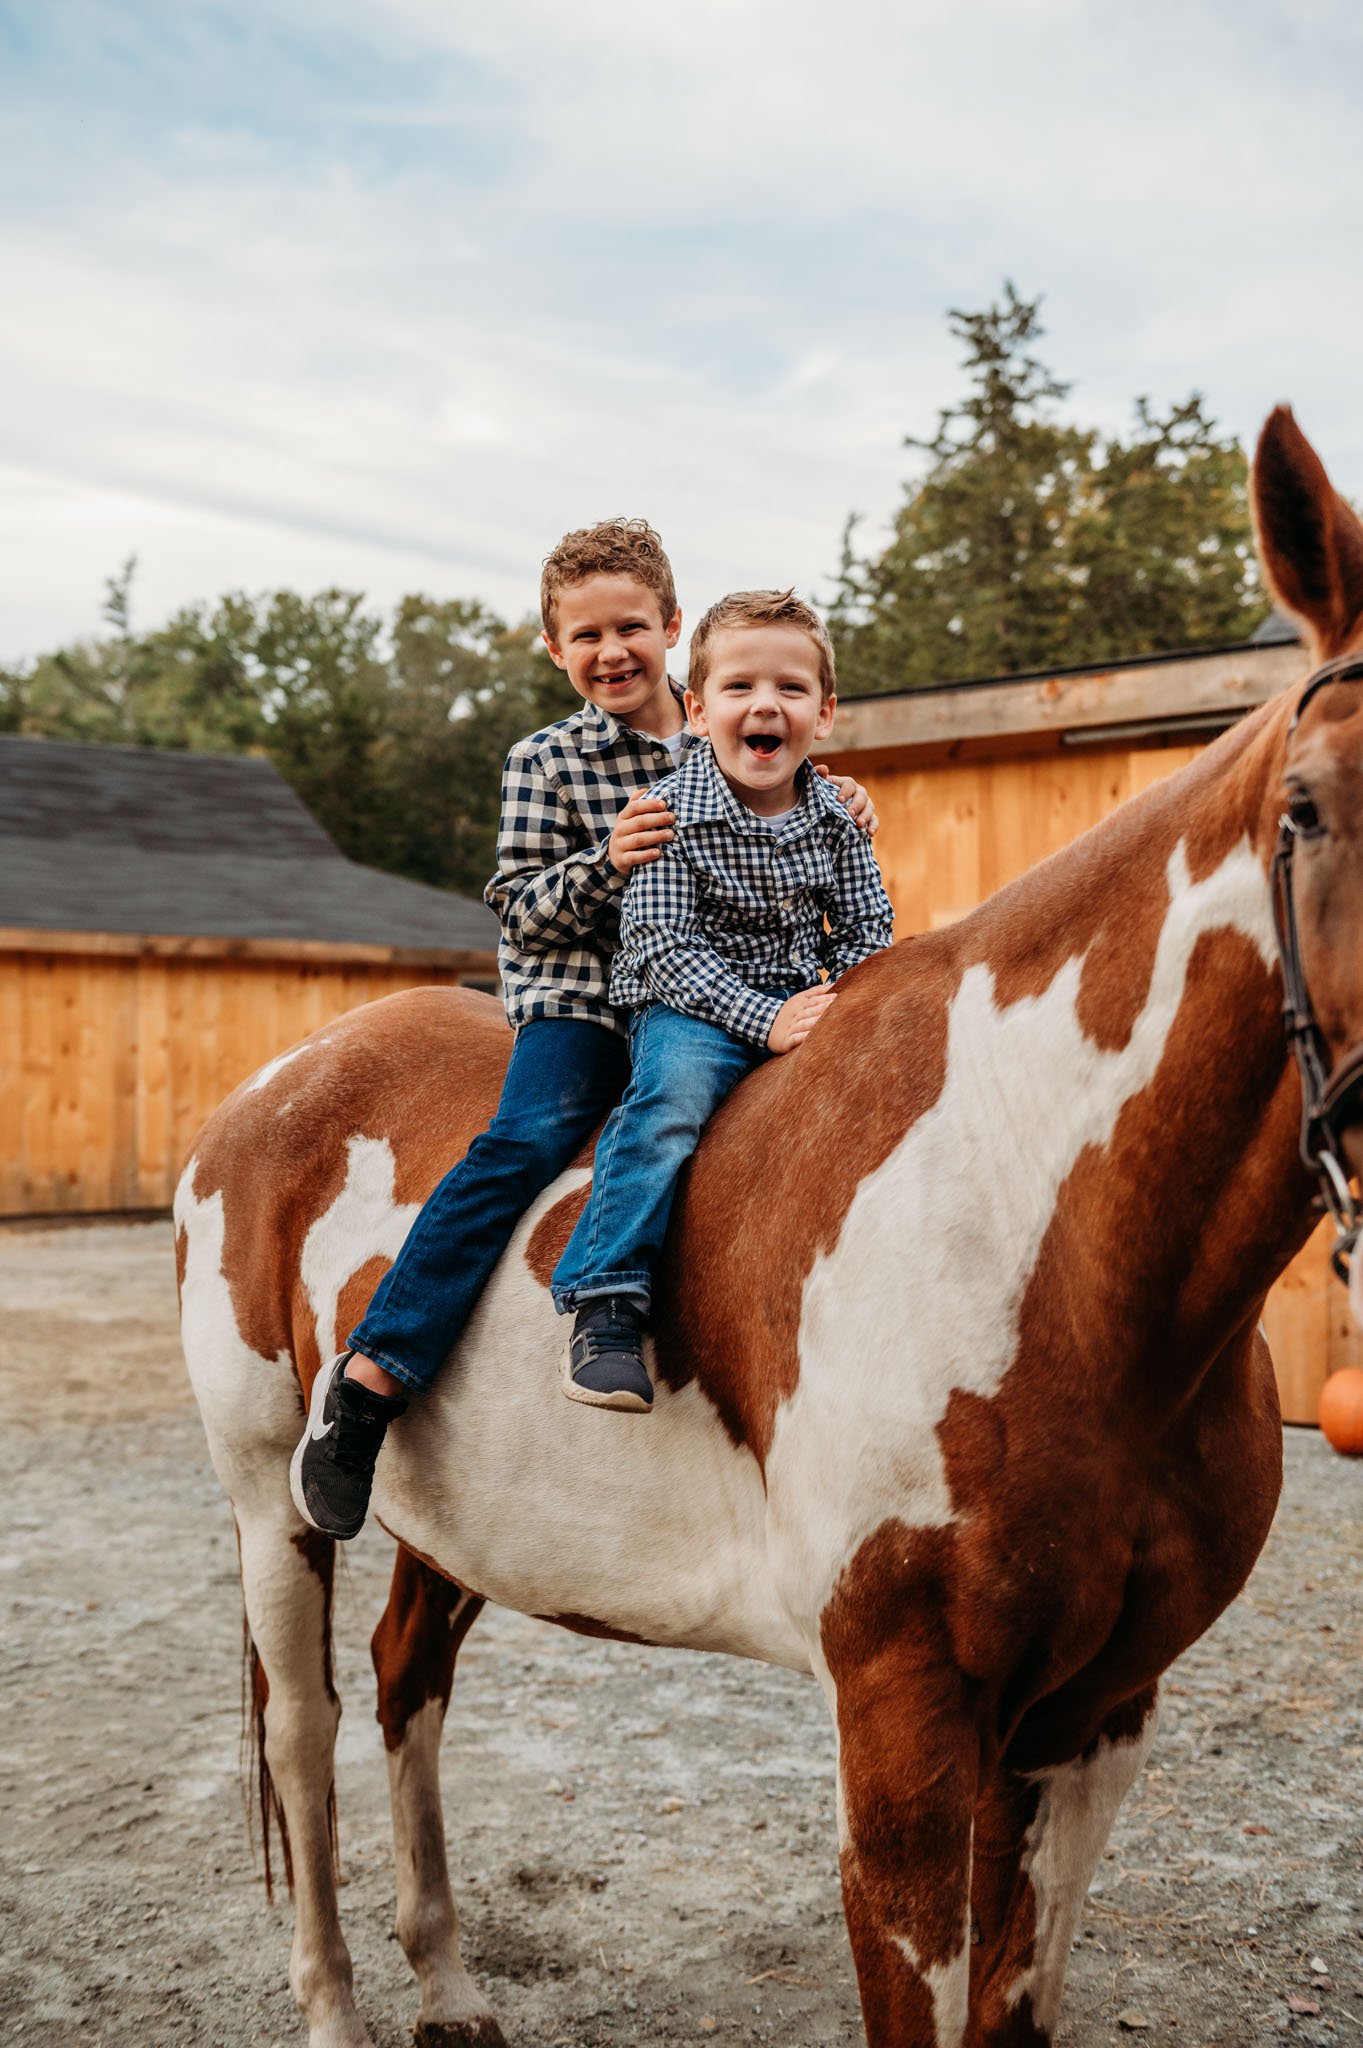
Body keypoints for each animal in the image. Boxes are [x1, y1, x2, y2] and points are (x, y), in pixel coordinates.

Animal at [176, 405, 1363, 2048]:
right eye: (1304, 809)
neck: (1034, 1213)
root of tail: (277, 1087)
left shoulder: (1094, 1720)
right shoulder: (902, 1723)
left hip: (450, 1524)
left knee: (406, 1680)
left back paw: (453, 1984)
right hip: (270, 1508)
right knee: (305, 1732)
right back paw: (343, 2003)